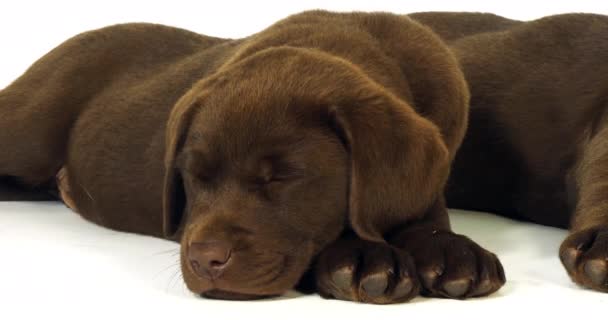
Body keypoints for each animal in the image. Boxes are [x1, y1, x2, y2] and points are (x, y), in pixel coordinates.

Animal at [0, 10, 504, 302]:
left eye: (281, 178)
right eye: (194, 177)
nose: (205, 261)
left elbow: (421, 211)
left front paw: (449, 252)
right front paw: (365, 258)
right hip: (28, 129)